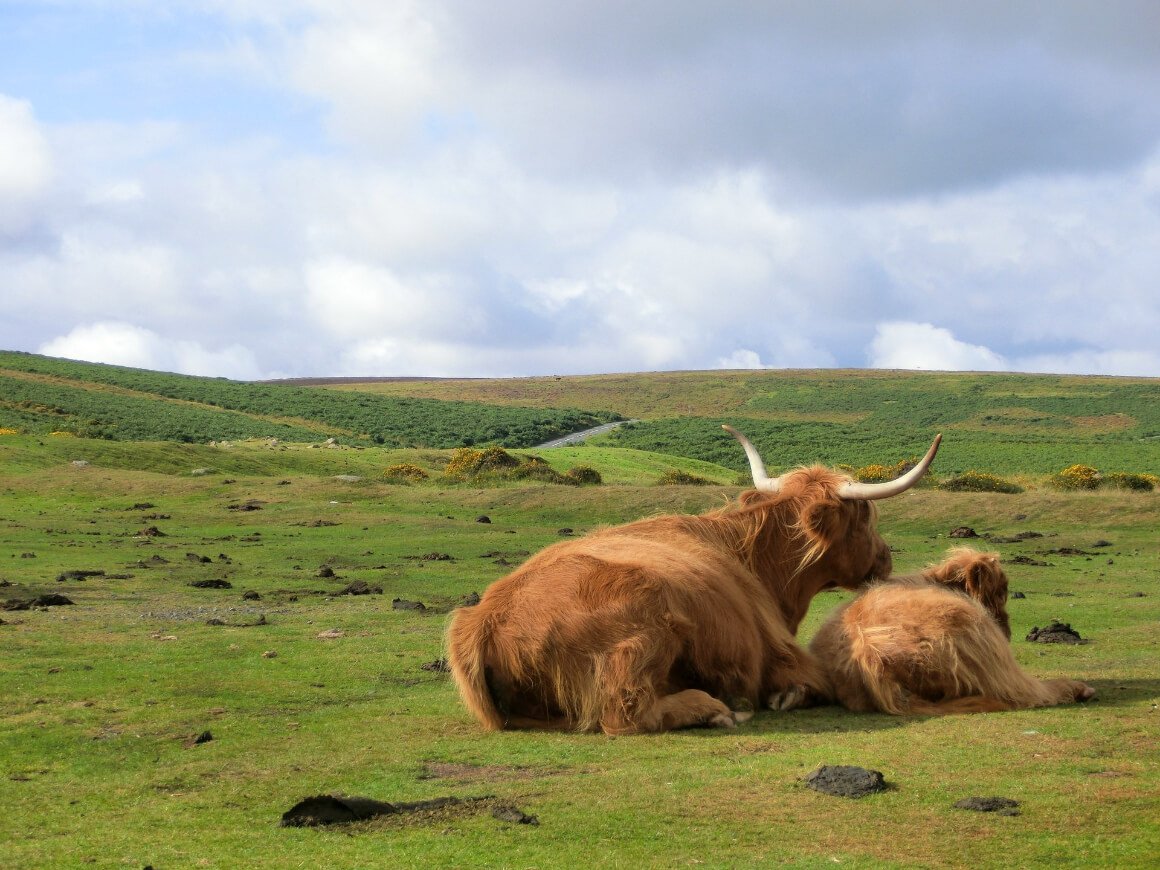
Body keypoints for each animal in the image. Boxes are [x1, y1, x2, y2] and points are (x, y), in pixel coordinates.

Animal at [443, 429, 941, 737]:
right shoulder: (784, 655)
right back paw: (713, 709)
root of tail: (485, 617)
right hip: (645, 632)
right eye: (867, 514)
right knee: (625, 713)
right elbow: (817, 681)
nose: (885, 557)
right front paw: (784, 696)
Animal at [807, 552, 1095, 714]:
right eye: (1001, 592)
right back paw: (1079, 689)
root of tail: (873, 659)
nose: (1007, 629)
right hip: (987, 649)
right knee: (1030, 692)